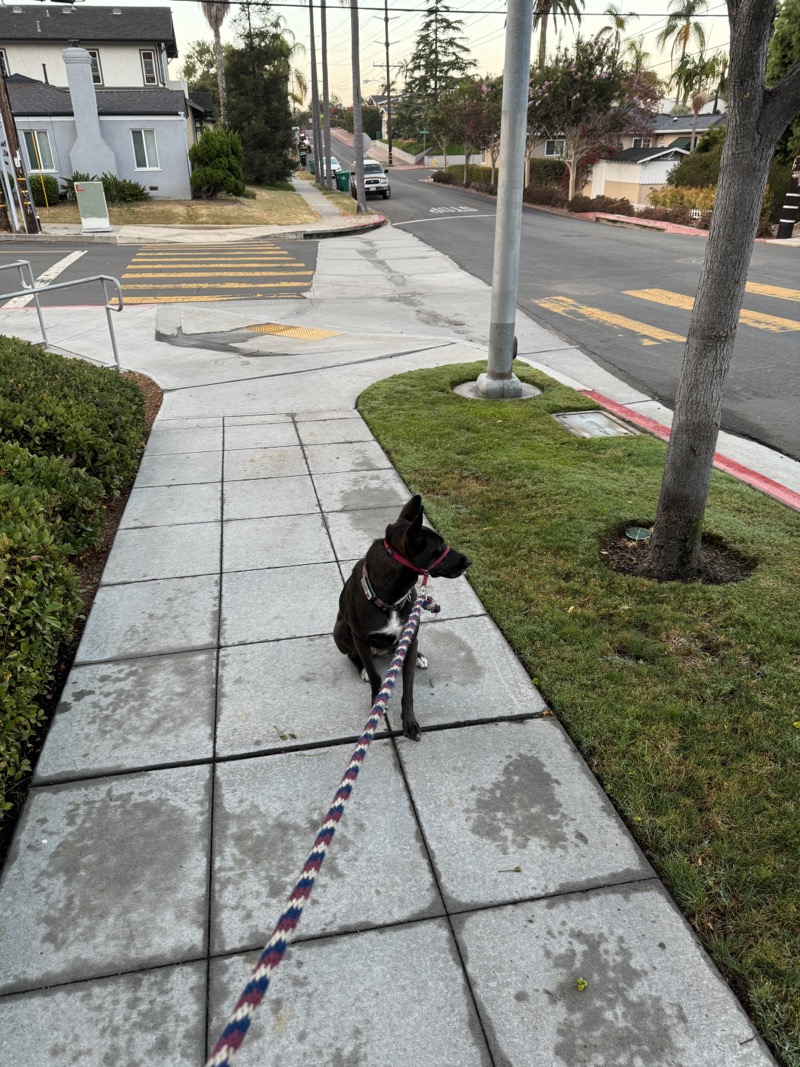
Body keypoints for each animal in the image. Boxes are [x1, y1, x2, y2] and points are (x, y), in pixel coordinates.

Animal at [334, 497, 473, 742]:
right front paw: (376, 703)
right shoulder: (360, 638)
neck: (391, 597)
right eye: (438, 550)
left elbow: (408, 689)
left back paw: (418, 656)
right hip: (340, 630)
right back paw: (361, 668)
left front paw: (409, 721)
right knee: (353, 655)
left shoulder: (410, 634)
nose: (469, 561)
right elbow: (376, 676)